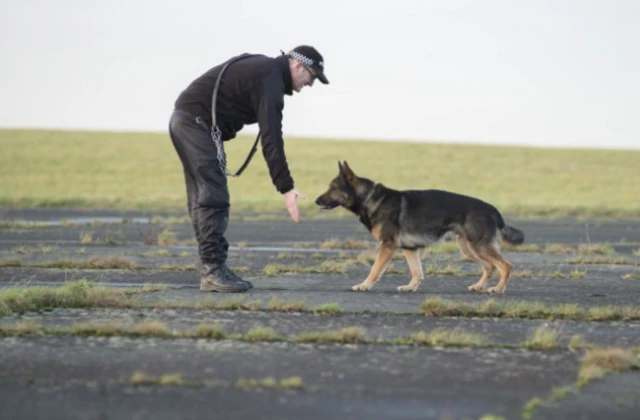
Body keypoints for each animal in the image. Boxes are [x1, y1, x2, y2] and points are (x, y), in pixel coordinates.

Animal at [316, 162, 524, 294]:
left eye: (333, 187)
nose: (316, 201)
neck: (368, 198)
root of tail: (493, 210)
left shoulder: (388, 246)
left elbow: (375, 270)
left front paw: (364, 285)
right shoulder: (410, 248)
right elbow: (416, 272)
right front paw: (410, 288)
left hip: (478, 246)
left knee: (506, 266)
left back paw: (497, 289)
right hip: (469, 248)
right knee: (490, 266)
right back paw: (479, 287)